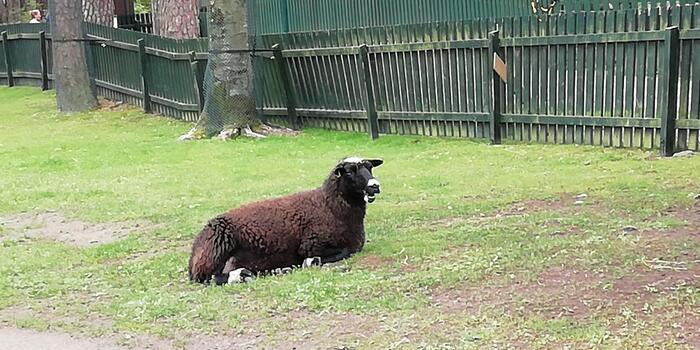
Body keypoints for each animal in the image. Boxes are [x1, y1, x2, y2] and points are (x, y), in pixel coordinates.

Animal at [187, 156, 382, 284]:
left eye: (370, 167)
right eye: (349, 171)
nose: (375, 186)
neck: (329, 206)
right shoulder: (311, 245)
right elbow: (343, 251)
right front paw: (309, 262)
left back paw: (278, 270)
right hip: (215, 251)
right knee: (209, 277)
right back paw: (240, 275)